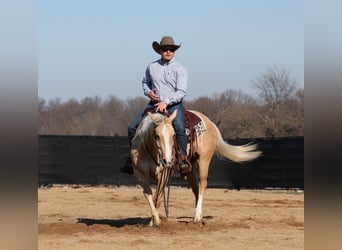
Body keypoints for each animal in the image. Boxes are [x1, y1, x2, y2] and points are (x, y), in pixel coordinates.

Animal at [130, 109, 260, 227]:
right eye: (156, 136)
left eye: (173, 135)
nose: (168, 161)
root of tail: (210, 123)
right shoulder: (140, 174)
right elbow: (148, 194)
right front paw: (153, 220)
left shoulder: (164, 174)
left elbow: (158, 197)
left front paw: (155, 221)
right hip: (189, 170)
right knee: (195, 189)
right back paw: (199, 215)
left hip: (203, 160)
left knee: (202, 184)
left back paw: (197, 217)